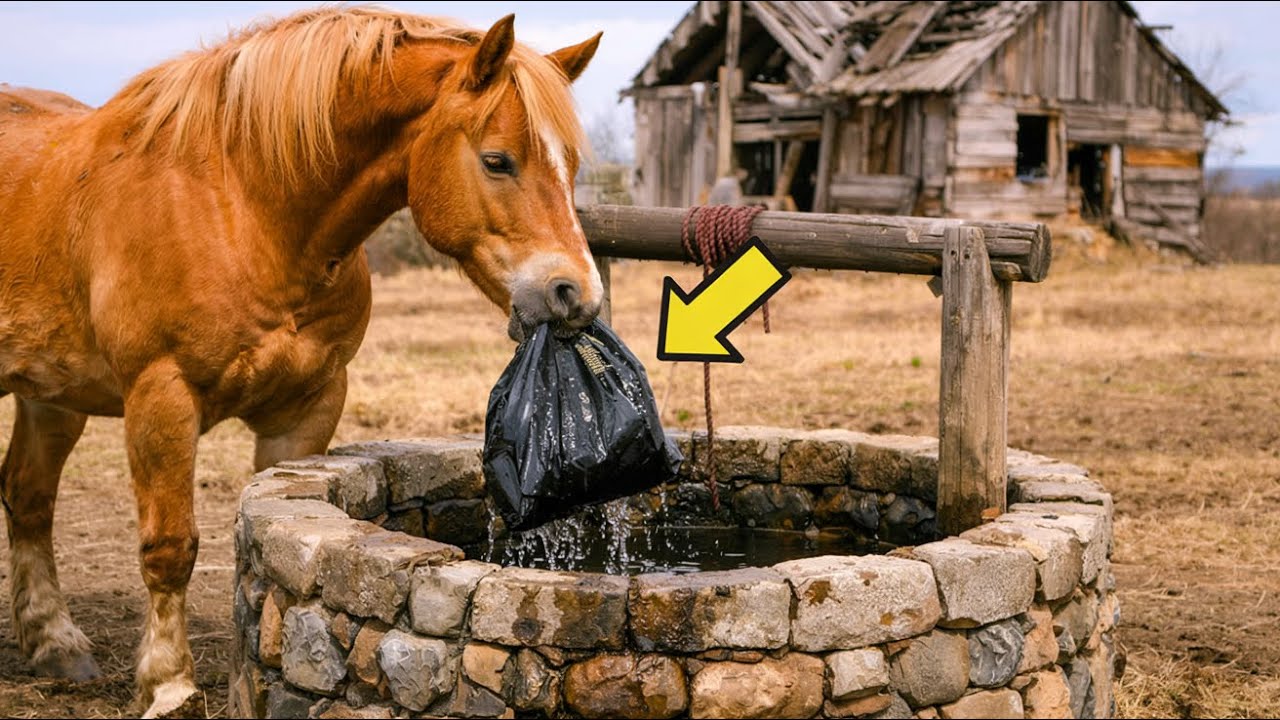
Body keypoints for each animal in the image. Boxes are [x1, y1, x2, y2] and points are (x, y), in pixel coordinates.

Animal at [0, 7, 602, 716]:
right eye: (497, 160)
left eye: (571, 165)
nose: (577, 294)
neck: (242, 209)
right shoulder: (161, 396)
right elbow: (170, 548)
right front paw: (170, 683)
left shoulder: (307, 410)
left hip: (50, 395)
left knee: (28, 497)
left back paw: (56, 643)